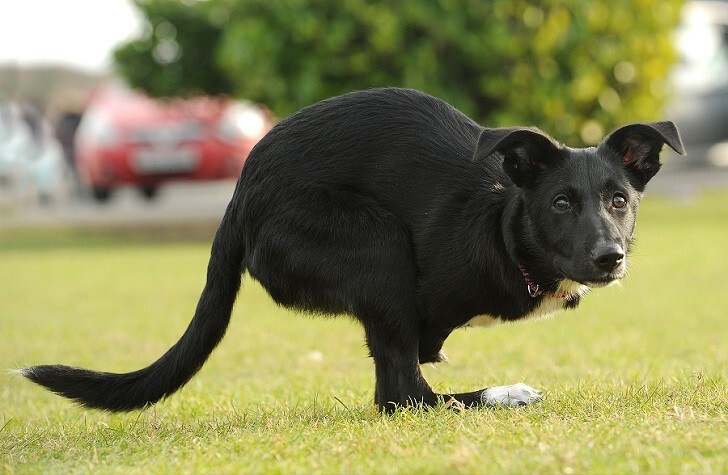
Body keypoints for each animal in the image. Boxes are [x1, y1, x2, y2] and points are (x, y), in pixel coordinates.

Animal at [21, 89, 684, 412]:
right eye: (561, 203)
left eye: (619, 199)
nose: (609, 258)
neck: (502, 225)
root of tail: (241, 193)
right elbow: (407, 380)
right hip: (375, 244)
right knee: (401, 398)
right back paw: (506, 394)